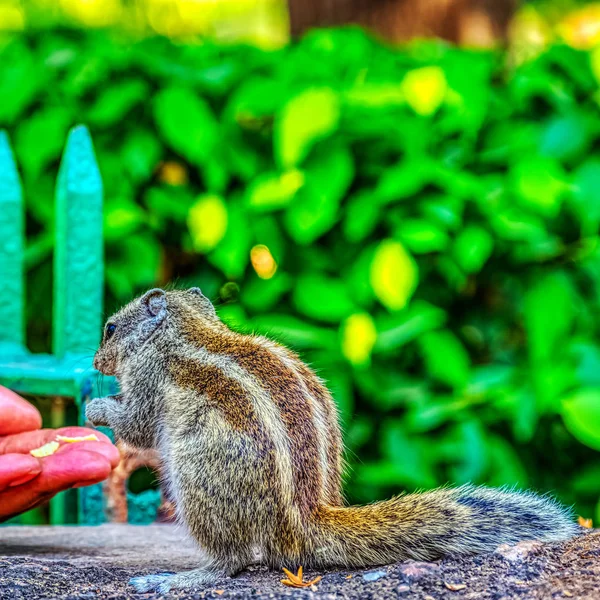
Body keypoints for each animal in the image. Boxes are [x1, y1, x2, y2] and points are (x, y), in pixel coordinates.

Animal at [86, 288, 580, 592]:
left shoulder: (149, 381)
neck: (182, 332)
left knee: (232, 560)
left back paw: (179, 579)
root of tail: (305, 518)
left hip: (198, 479)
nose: (94, 362)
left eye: (110, 328)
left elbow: (136, 423)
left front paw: (96, 408)